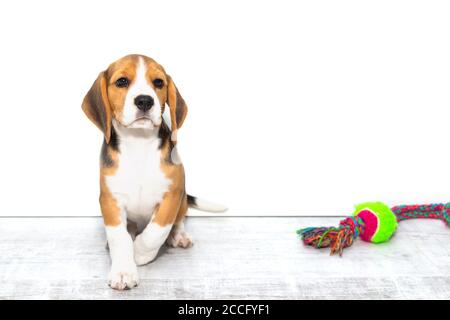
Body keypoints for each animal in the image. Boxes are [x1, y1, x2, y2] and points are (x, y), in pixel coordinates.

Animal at [82, 54, 225, 290]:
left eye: (158, 83)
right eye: (122, 81)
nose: (144, 101)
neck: (139, 143)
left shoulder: (172, 194)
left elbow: (157, 230)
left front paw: (140, 253)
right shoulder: (110, 200)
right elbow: (119, 237)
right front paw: (123, 270)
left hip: (182, 199)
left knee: (178, 221)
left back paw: (179, 236)